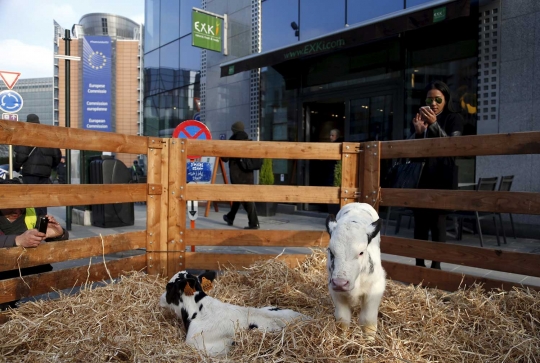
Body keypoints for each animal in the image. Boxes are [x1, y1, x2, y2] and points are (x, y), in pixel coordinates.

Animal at [324, 203, 388, 340]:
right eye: (331, 251)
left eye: (361, 252)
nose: (340, 283)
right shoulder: (334, 290)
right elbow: (342, 320)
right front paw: (342, 338)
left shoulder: (376, 287)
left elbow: (368, 321)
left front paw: (369, 342)